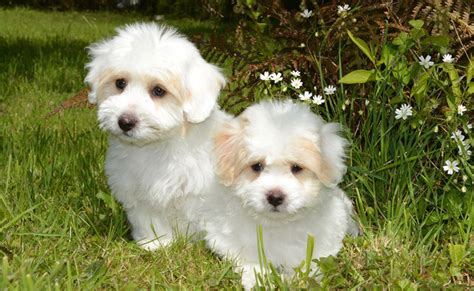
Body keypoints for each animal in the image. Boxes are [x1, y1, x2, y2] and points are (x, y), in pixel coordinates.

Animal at [85, 22, 228, 251]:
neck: (157, 144)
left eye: (159, 90)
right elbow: (149, 218)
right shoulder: (138, 192)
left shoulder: (198, 192)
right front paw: (154, 243)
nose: (125, 122)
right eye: (120, 83)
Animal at [205, 101, 360, 290]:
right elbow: (249, 262)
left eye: (296, 168)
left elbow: (311, 264)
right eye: (257, 166)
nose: (275, 197)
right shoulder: (228, 241)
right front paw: (258, 280)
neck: (276, 224)